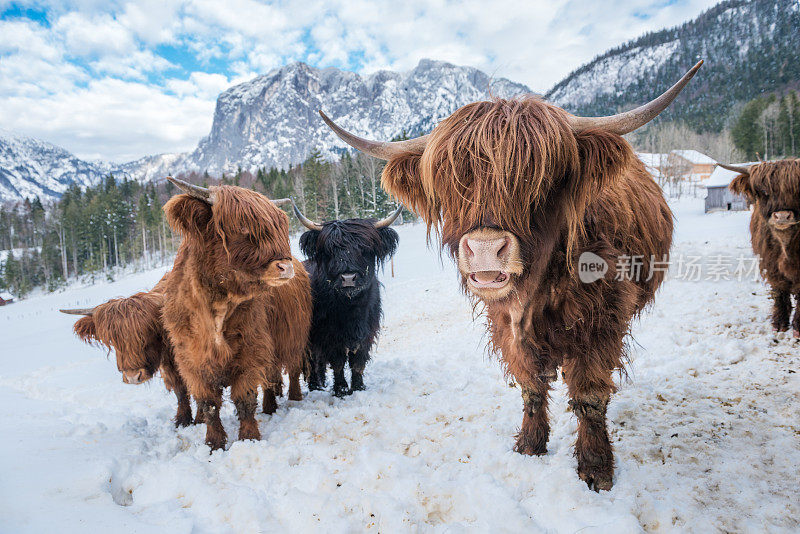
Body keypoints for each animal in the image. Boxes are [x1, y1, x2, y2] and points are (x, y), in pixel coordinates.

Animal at [162, 180, 312, 452]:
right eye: (242, 228)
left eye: (280, 228)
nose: (285, 267)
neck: (218, 307)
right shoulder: (193, 362)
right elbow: (209, 405)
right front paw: (214, 444)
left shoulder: (251, 352)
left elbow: (245, 399)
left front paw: (249, 438)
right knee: (271, 377)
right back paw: (270, 407)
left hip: (293, 337)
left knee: (291, 370)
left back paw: (291, 399)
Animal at [292, 201, 400, 398]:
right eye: (330, 251)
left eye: (364, 249)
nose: (348, 278)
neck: (351, 308)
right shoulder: (331, 337)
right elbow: (338, 363)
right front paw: (341, 390)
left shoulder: (366, 332)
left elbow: (358, 362)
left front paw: (358, 387)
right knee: (311, 361)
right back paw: (315, 386)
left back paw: (322, 383)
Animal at [318, 60, 700, 492]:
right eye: (451, 182)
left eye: (541, 179)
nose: (485, 248)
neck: (539, 288)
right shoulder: (504, 322)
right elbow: (531, 385)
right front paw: (530, 445)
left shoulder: (602, 318)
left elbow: (589, 393)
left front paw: (596, 468)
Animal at [728, 157, 800, 338]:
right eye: (764, 191)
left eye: (797, 190)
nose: (782, 216)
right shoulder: (770, 265)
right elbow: (779, 291)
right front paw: (779, 324)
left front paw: (797, 327)